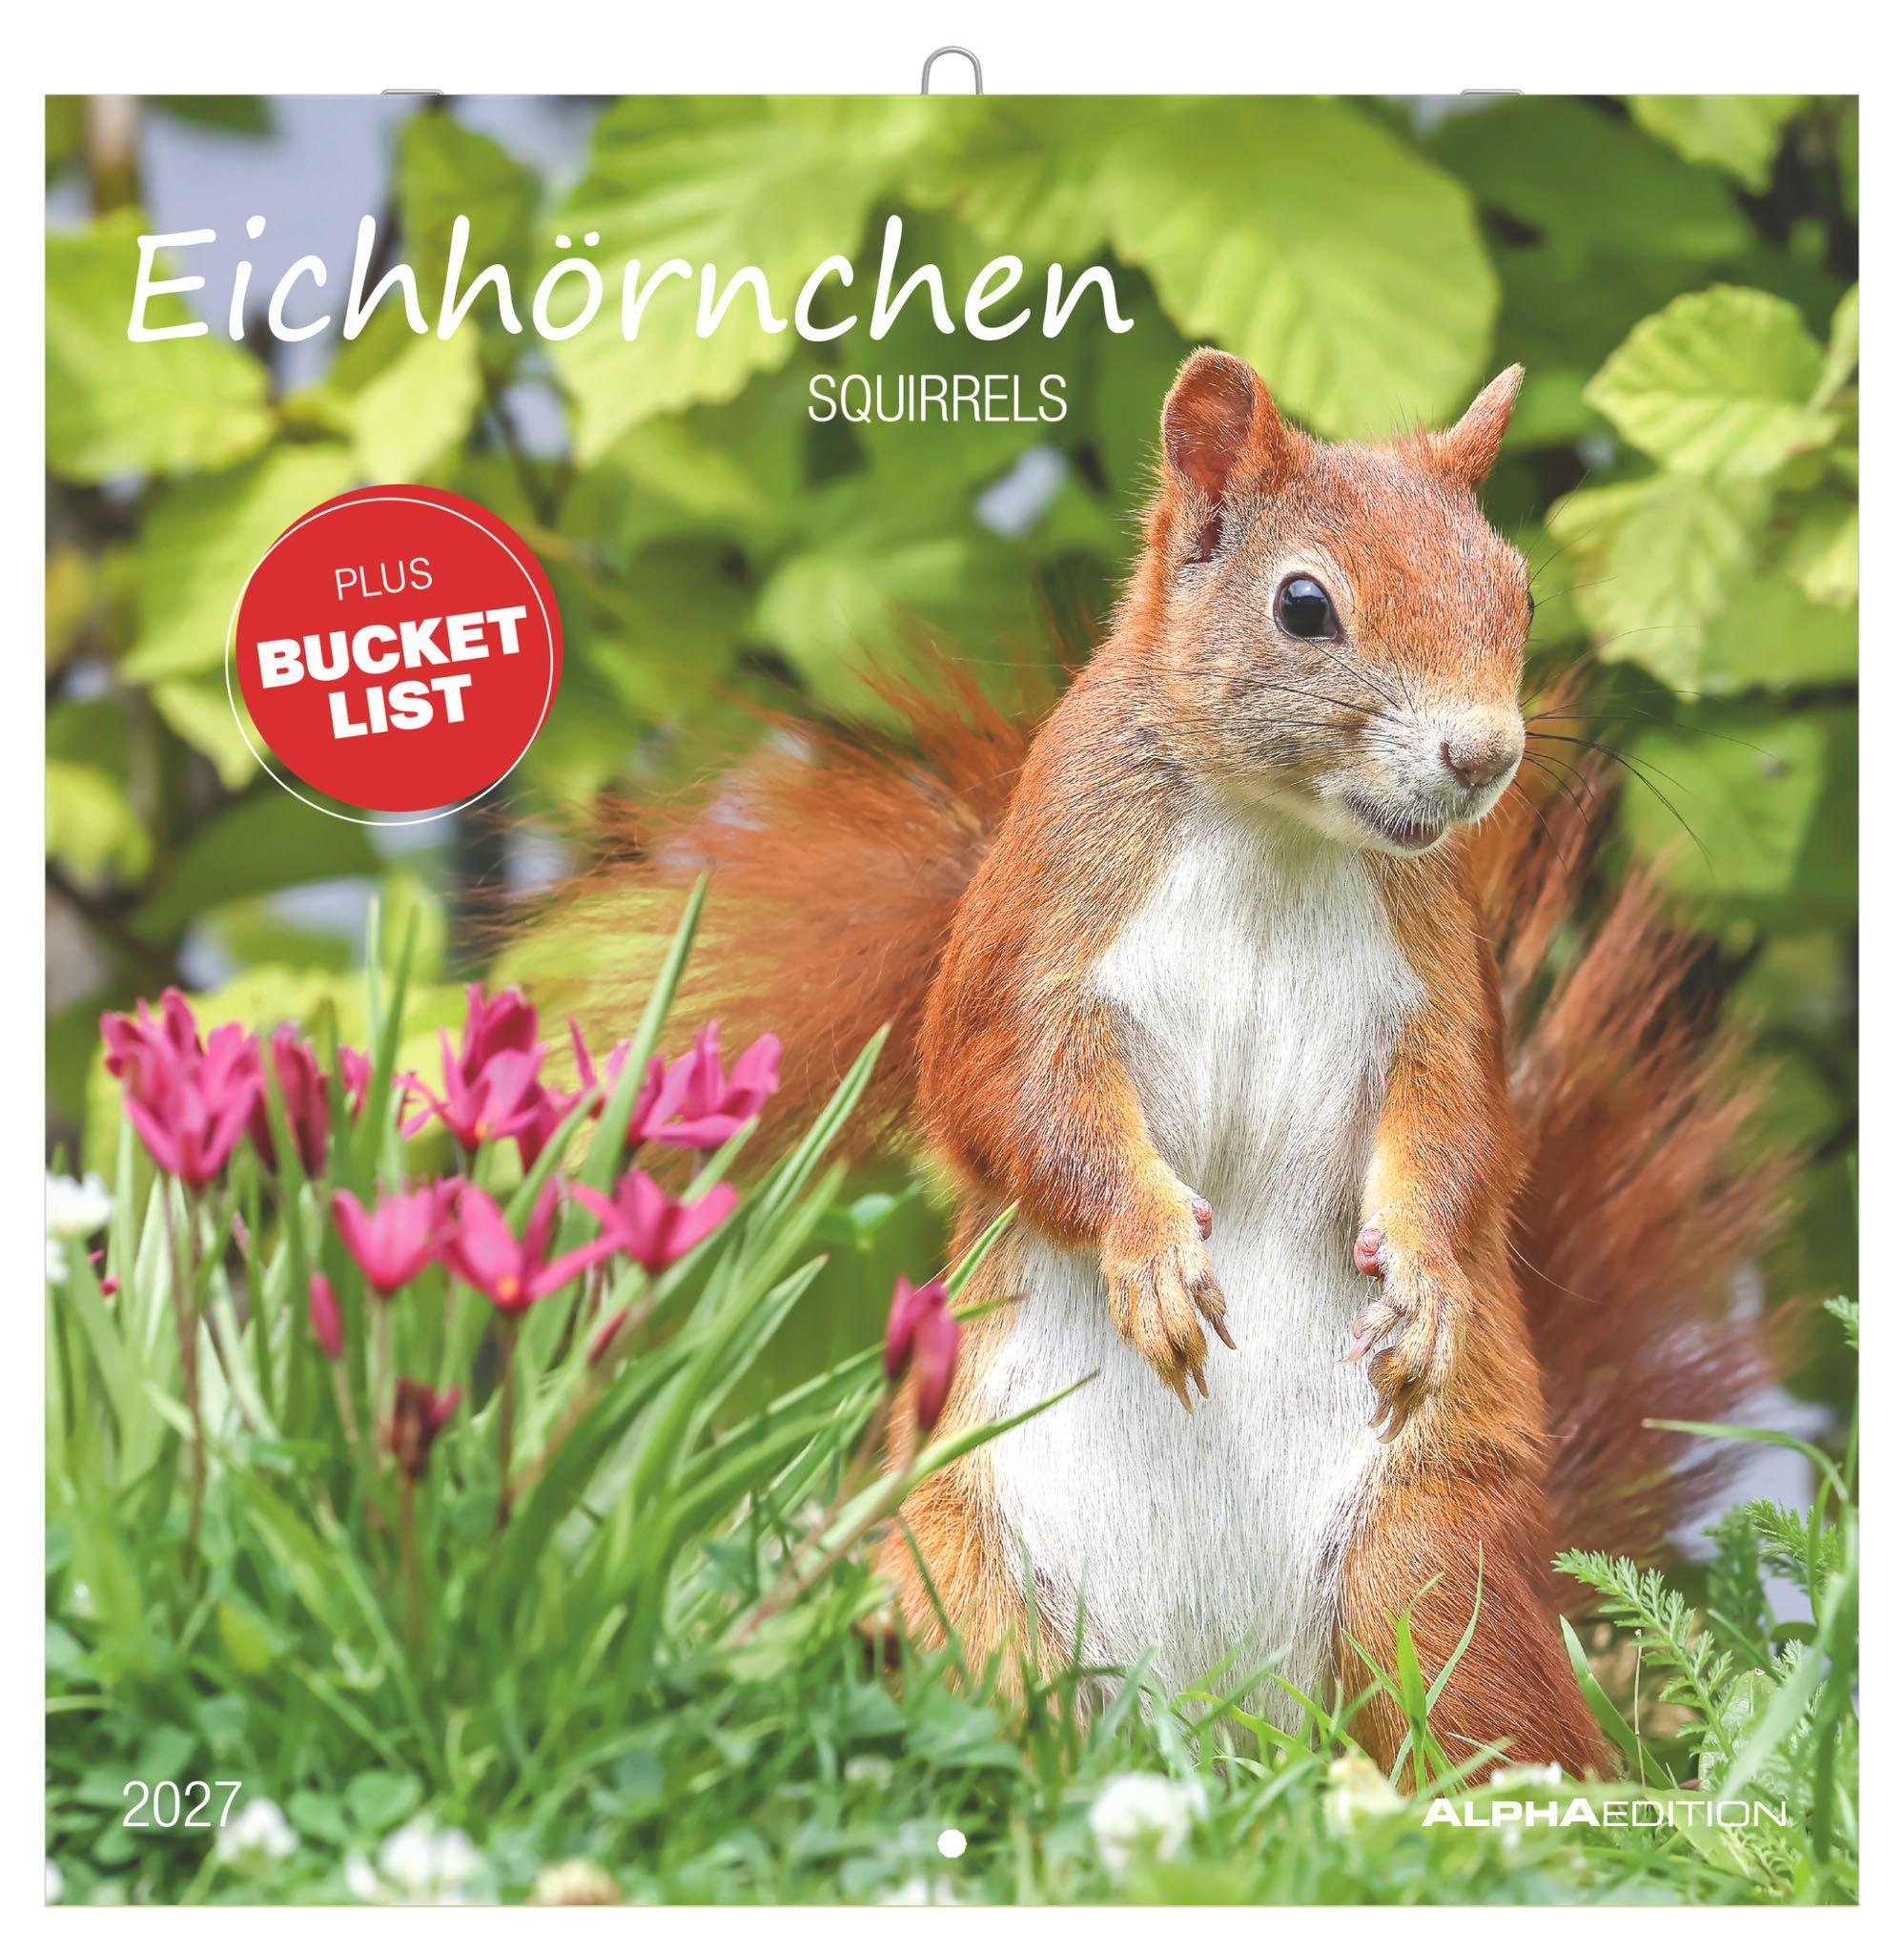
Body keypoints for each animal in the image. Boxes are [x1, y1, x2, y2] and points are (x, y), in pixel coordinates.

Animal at [561, 348, 1783, 1777]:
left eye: (1518, 588)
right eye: (1303, 605)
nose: (1481, 755)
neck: (1277, 835)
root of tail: (1213, 1729)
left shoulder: (1438, 985)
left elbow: (1462, 1136)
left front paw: (1426, 1277)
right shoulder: (1038, 933)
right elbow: (1012, 1098)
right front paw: (1148, 1251)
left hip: (1425, 1572)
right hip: (960, 1580)